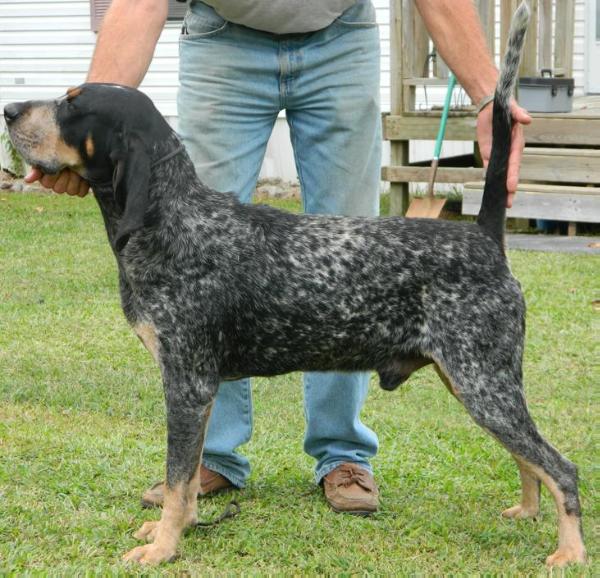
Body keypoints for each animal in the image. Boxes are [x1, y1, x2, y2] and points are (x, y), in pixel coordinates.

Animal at [3, 1, 584, 568]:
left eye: (72, 106)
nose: (9, 109)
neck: (173, 220)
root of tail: (484, 236)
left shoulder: (187, 383)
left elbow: (176, 478)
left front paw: (163, 547)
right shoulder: (197, 386)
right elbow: (186, 482)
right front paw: (180, 528)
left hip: (482, 383)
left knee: (561, 467)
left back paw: (569, 551)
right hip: (477, 382)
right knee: (529, 460)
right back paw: (527, 513)